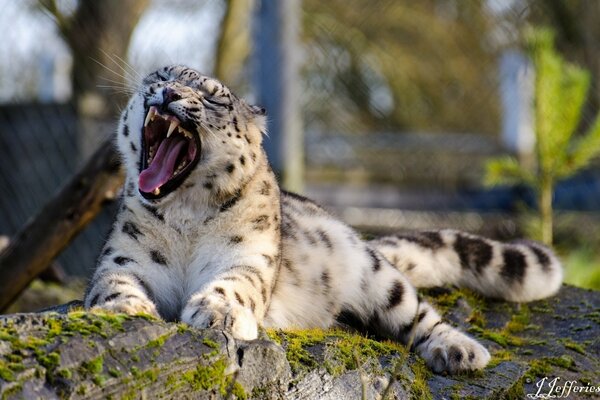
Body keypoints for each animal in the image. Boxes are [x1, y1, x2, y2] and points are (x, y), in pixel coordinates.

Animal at [84, 64, 564, 374]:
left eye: (213, 97)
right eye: (162, 76)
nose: (168, 94)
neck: (184, 216)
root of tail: (358, 237)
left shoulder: (249, 258)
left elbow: (235, 284)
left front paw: (218, 312)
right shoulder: (124, 257)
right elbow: (113, 281)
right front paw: (127, 307)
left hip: (379, 279)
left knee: (420, 315)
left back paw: (461, 351)